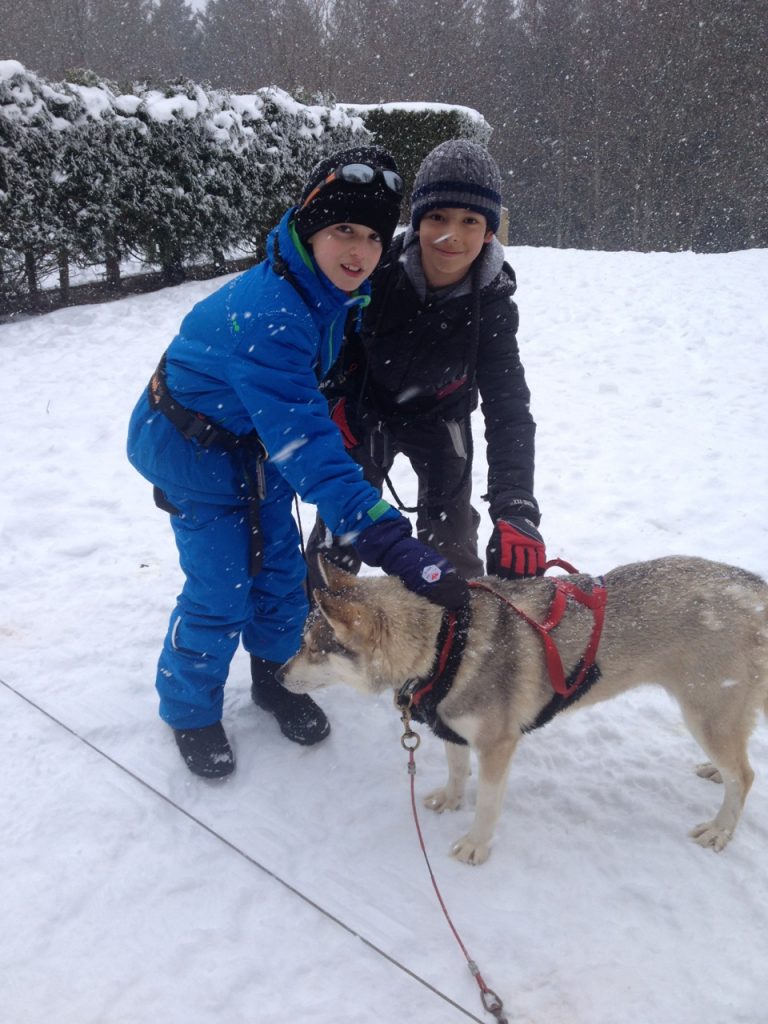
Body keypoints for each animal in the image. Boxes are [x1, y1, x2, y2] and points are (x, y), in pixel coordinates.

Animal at [281, 556, 768, 864]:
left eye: (314, 649)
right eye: (302, 643)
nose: (279, 676)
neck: (443, 645)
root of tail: (754, 586)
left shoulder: (497, 745)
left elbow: (487, 805)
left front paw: (476, 846)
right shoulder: (453, 730)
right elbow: (457, 771)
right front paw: (451, 800)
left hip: (705, 712)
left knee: (744, 776)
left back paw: (721, 828)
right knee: (734, 764)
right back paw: (714, 770)